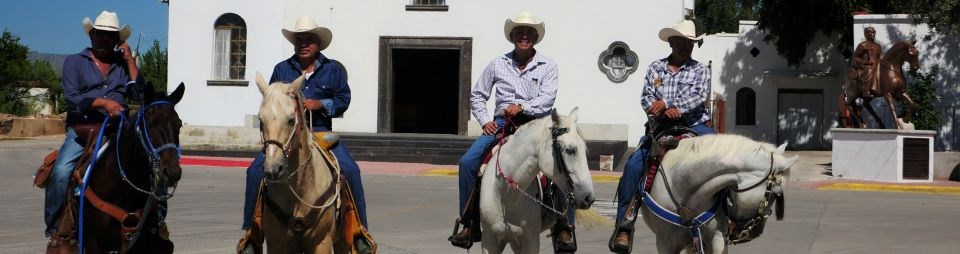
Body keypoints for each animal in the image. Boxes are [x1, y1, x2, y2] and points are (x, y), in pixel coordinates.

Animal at [49, 83, 184, 252]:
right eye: (149, 123)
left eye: (179, 124)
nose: (172, 173)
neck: (124, 189)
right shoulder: (92, 242)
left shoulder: (140, 243)